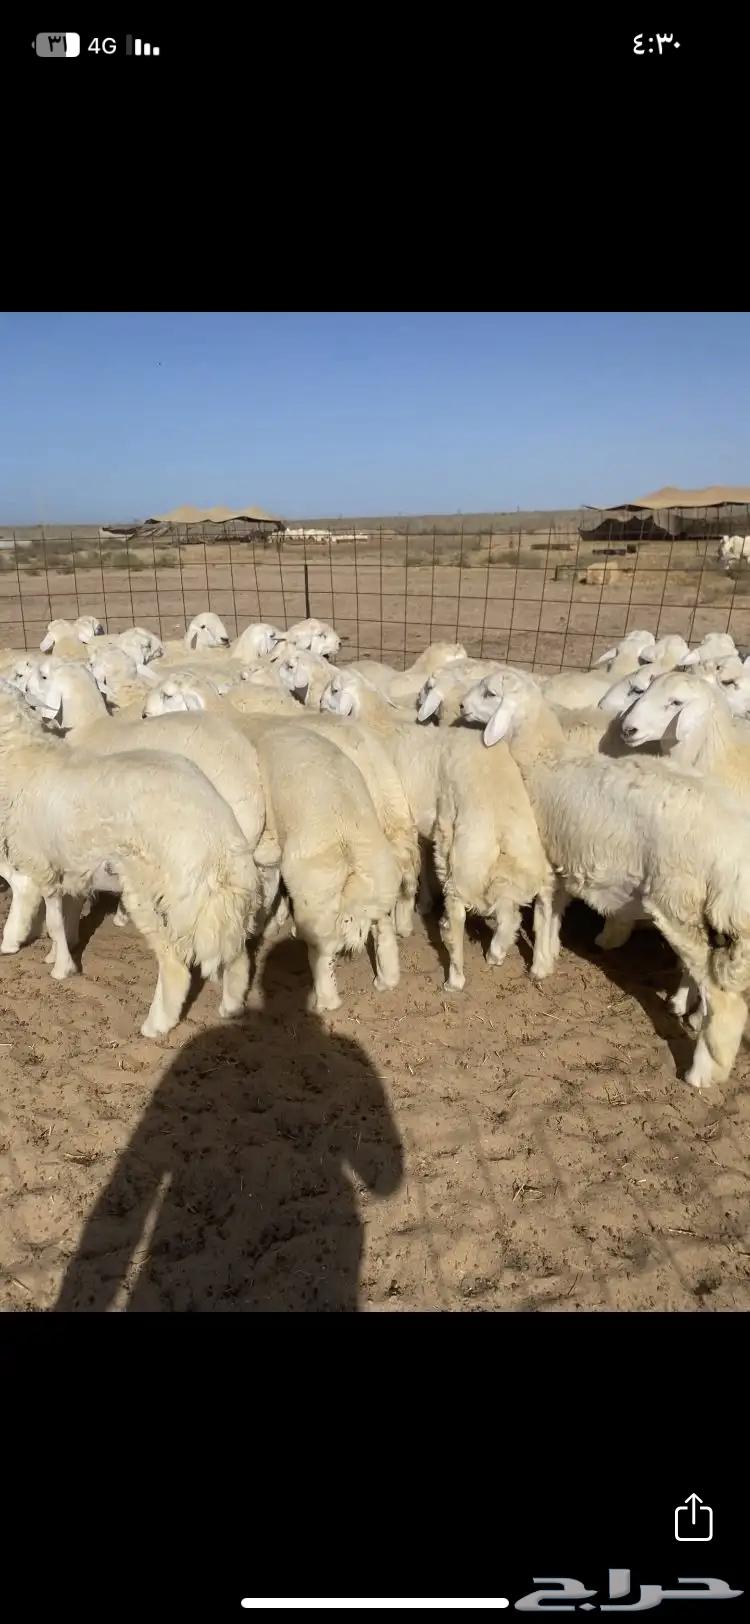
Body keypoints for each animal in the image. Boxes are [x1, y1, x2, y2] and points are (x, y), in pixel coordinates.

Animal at [0, 682, 261, 1038]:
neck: (23, 757)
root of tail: (213, 833)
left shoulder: (41, 862)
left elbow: (50, 918)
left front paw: (58, 966)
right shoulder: (70, 865)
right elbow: (63, 917)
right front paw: (58, 955)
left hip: (151, 890)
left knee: (175, 964)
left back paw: (157, 1024)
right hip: (213, 899)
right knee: (237, 954)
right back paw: (231, 1006)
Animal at [461, 667, 750, 1090]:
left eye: (490, 693)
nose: (461, 706)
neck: (545, 759)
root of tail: (735, 849)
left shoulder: (548, 861)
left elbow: (542, 913)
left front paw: (537, 964)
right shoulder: (565, 863)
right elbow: (554, 914)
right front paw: (549, 957)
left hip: (678, 902)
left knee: (723, 996)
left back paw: (701, 1071)